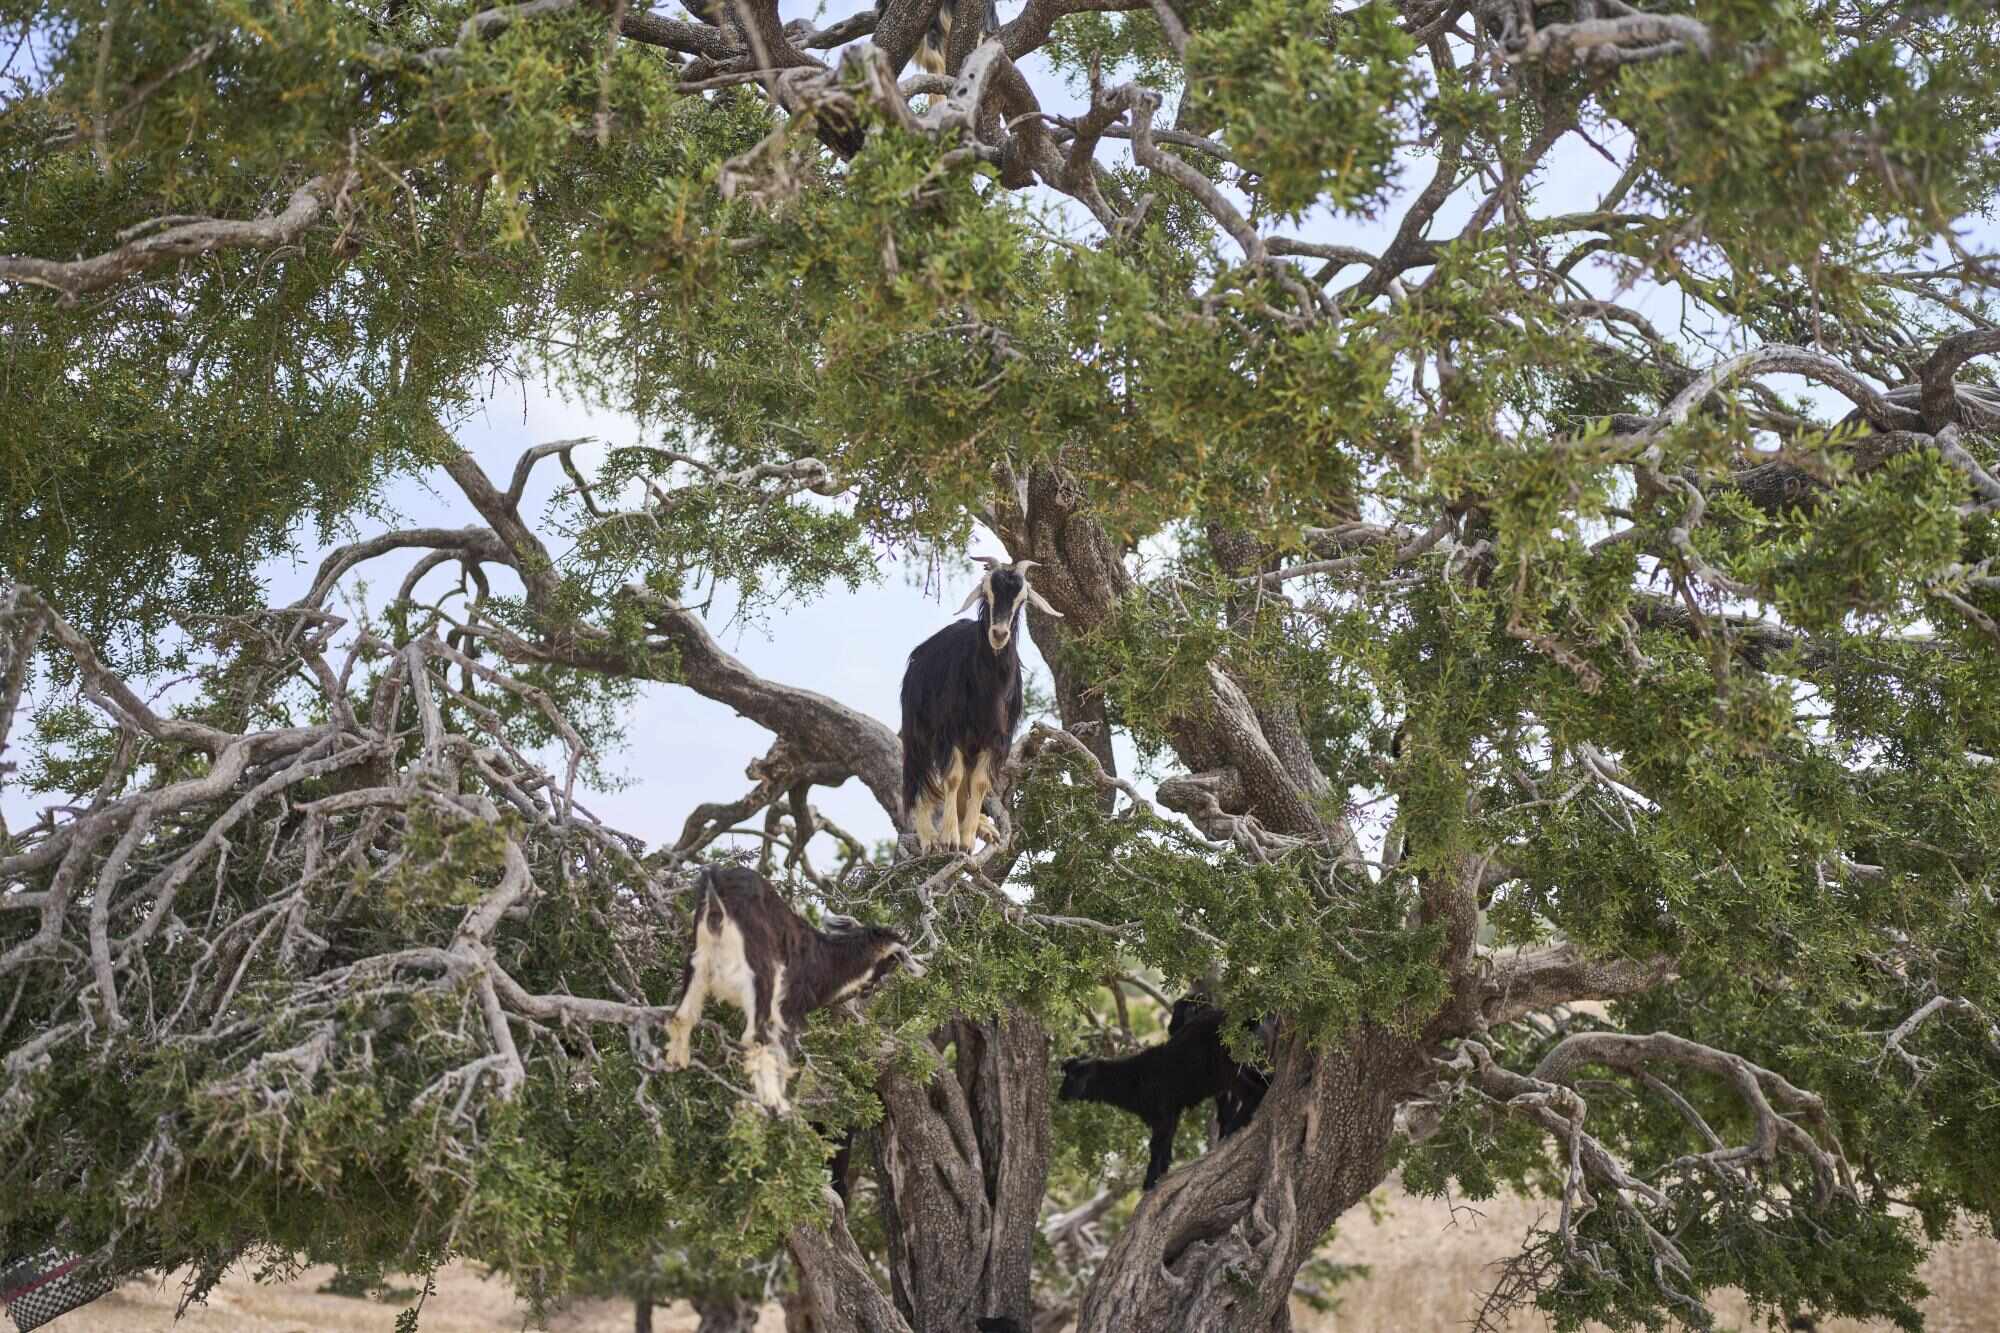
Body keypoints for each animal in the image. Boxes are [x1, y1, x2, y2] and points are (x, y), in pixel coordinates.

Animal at [665, 864, 919, 1114]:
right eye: (893, 962)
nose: (871, 990)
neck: (824, 962)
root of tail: (717, 882)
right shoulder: (788, 1011)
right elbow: (782, 1055)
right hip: (760, 972)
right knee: (754, 1037)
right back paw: (774, 1105)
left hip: (698, 961)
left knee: (682, 1016)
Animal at [900, 556, 1061, 852]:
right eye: (987, 592)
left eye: (1022, 598)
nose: (998, 633)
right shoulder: (949, 730)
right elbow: (952, 778)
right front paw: (950, 838)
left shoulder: (996, 736)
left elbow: (979, 782)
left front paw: (967, 838)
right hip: (919, 731)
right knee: (918, 775)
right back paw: (929, 837)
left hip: (970, 744)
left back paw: (984, 828)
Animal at [1058, 1000, 1272, 1190]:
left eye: (1073, 1076)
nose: (1060, 1096)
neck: (1131, 1079)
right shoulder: (1171, 1113)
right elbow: (1166, 1144)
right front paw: (1162, 1172)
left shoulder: (1161, 1114)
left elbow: (1156, 1146)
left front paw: (1149, 1183)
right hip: (1244, 1062)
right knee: (1264, 1082)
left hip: (1226, 1068)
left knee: (1253, 1091)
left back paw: (1234, 1126)